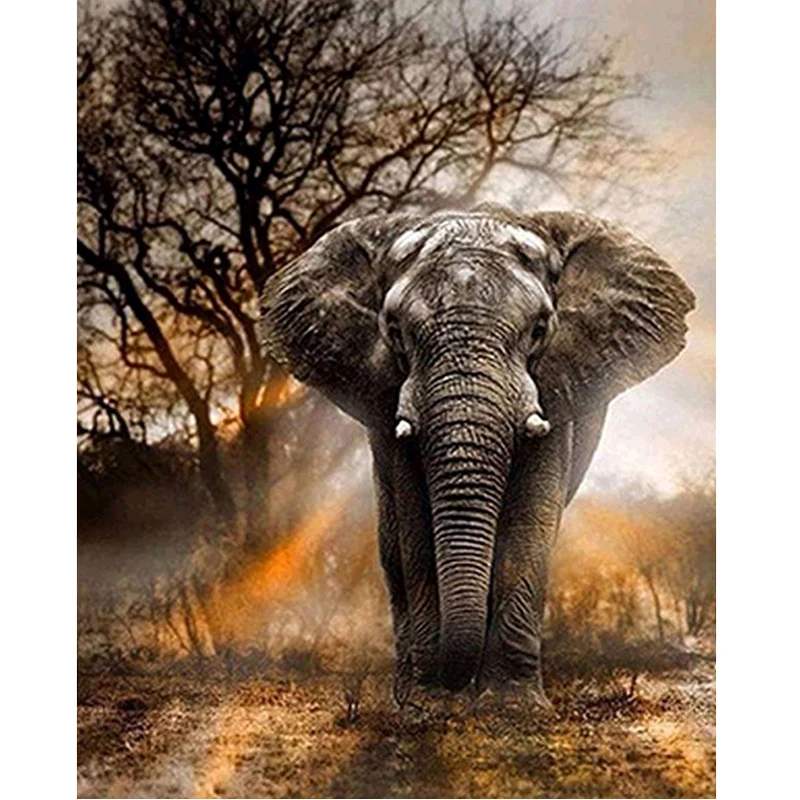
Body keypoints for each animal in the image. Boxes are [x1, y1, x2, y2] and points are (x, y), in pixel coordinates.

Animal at [259, 203, 694, 705]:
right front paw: (430, 705)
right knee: (391, 545)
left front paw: (512, 707)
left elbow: (528, 523)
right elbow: (415, 526)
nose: (450, 682)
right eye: (394, 331)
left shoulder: (554, 387)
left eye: (539, 329)